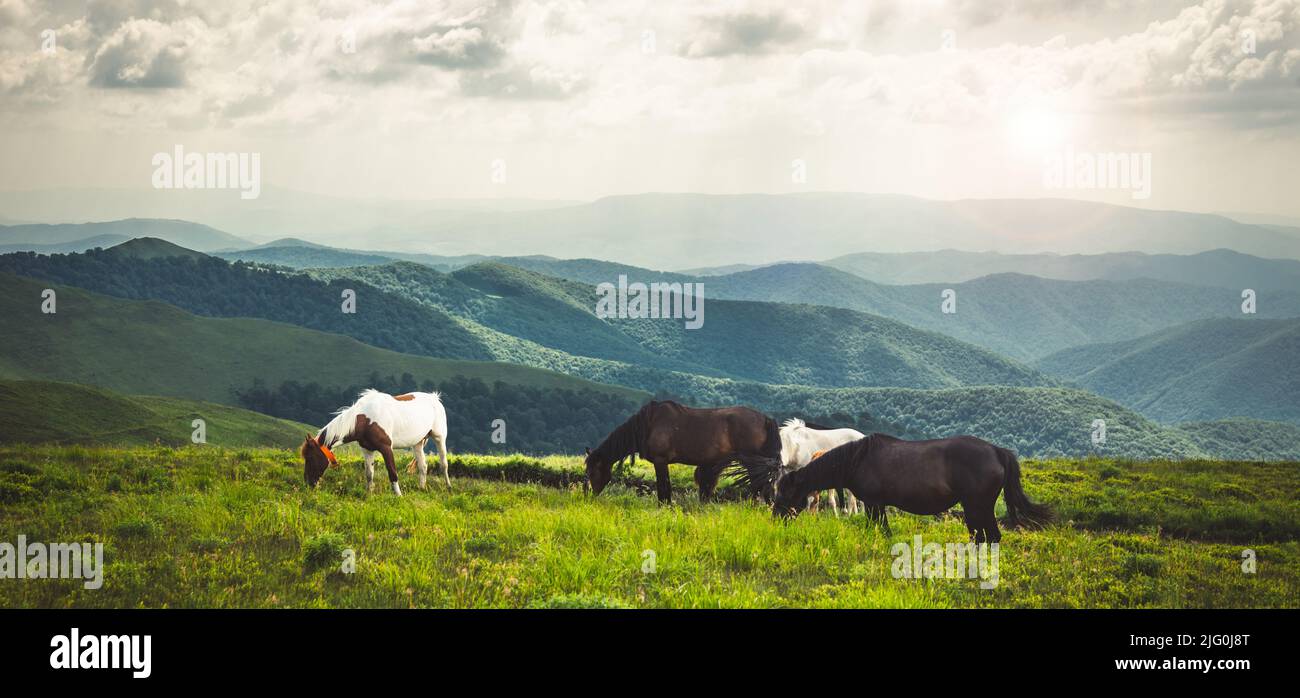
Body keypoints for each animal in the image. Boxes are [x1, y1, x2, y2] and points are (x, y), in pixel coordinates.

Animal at [300, 389, 450, 495]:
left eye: (310, 457)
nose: (308, 483)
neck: (365, 421)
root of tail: (434, 398)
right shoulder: (367, 450)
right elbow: (369, 473)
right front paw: (369, 494)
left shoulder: (386, 448)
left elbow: (392, 473)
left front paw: (399, 496)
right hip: (418, 443)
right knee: (423, 466)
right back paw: (421, 488)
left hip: (439, 438)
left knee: (444, 464)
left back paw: (448, 487)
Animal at [584, 400, 781, 504]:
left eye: (593, 472)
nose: (591, 496)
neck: (649, 424)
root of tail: (765, 419)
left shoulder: (660, 461)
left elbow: (664, 487)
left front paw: (664, 507)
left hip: (753, 463)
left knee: (759, 485)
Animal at [755, 433, 1053, 542]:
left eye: (785, 492)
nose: (776, 519)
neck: (856, 459)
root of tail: (996, 451)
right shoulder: (876, 505)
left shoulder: (874, 503)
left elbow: (880, 529)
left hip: (977, 506)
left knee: (988, 536)